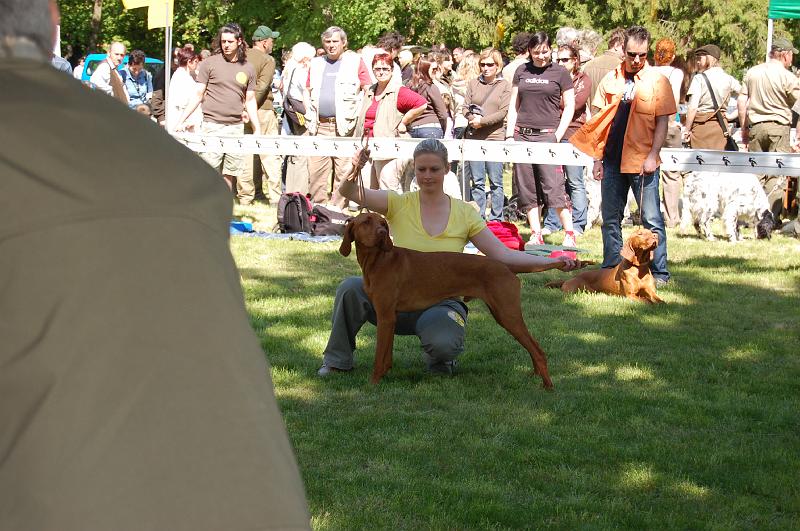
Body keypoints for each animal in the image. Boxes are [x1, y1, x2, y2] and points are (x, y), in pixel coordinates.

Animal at [340, 212, 560, 390]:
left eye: (383, 224)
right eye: (366, 222)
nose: (381, 233)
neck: (378, 261)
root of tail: (506, 266)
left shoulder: (385, 316)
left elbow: (379, 357)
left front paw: (373, 382)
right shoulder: (390, 317)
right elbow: (387, 356)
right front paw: (385, 375)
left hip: (508, 314)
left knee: (537, 349)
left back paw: (548, 385)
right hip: (503, 314)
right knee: (533, 346)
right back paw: (535, 375)